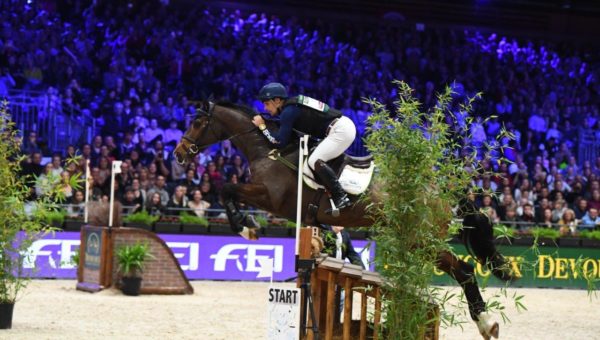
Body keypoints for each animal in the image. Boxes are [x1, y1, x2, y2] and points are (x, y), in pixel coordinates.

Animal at [173, 100, 516, 338]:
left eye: (198, 121)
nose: (178, 153)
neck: (268, 150)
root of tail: (440, 187)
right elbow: (228, 190)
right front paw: (249, 226)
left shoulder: (270, 197)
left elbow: (227, 189)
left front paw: (246, 227)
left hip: (421, 239)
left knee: (465, 270)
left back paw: (487, 323)